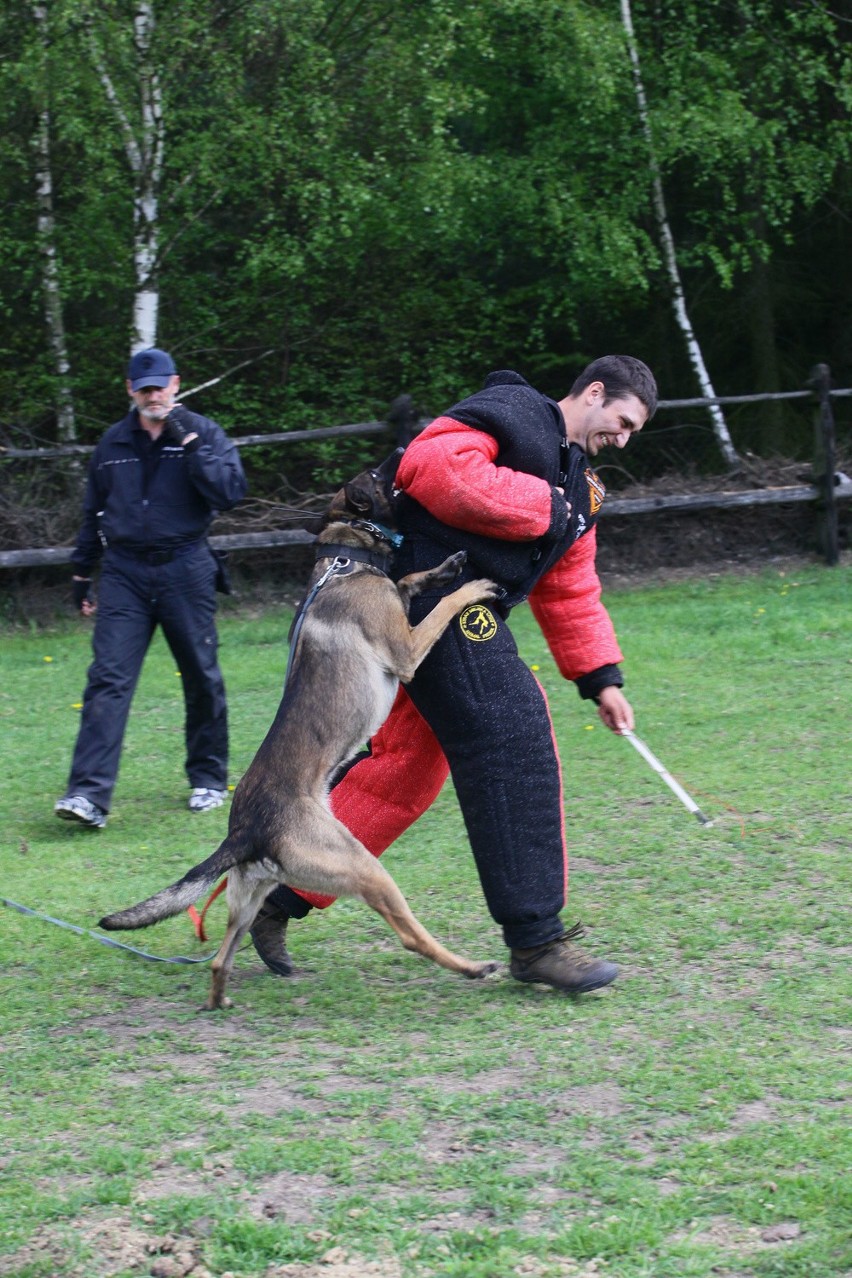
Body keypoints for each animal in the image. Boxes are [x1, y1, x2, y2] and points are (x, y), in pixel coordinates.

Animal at [98, 449, 500, 1007]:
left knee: (220, 958)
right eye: (377, 475)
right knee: (411, 935)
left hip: (249, 896)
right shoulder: (407, 650)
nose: (402, 449)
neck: (344, 563)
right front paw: (470, 585)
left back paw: (221, 1002)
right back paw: (471, 967)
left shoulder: (397, 605)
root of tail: (245, 831)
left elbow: (410, 581)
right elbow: (441, 606)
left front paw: (445, 567)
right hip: (362, 867)